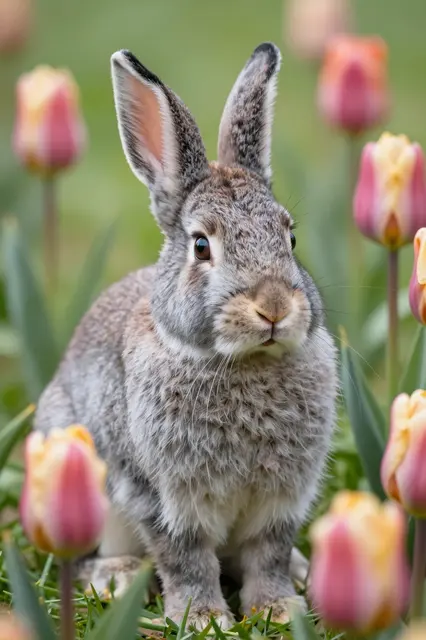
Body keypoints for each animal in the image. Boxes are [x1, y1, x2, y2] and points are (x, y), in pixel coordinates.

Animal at [34, 42, 337, 630]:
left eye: (289, 237)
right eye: (201, 247)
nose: (273, 307)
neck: (243, 363)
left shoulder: (282, 500)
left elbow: (267, 553)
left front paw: (277, 610)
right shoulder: (163, 497)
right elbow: (186, 558)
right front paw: (202, 619)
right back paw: (117, 578)